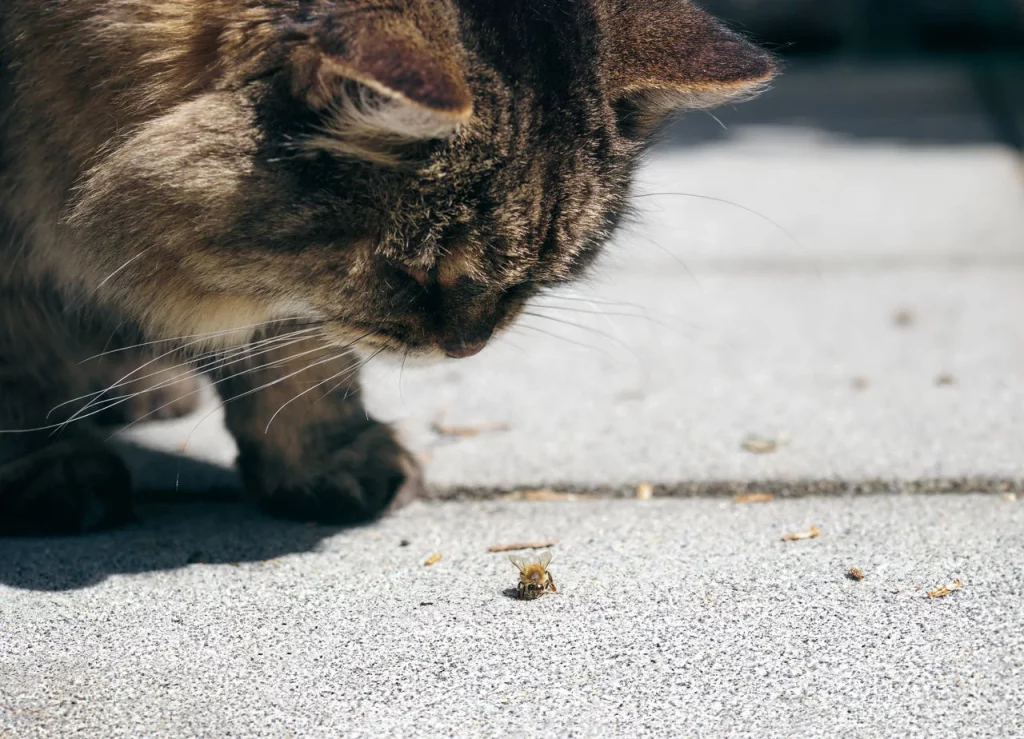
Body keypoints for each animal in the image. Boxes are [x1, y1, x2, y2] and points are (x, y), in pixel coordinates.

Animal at [0, 0, 770, 528]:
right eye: (410, 275)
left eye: (533, 279)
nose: (467, 347)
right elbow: (26, 376)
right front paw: (52, 469)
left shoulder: (286, 295)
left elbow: (294, 353)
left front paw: (323, 461)